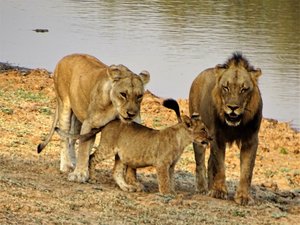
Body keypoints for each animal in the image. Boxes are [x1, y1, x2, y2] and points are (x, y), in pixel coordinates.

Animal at [37, 54, 150, 183]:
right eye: (123, 94)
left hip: (78, 116)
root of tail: (65, 57)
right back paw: (66, 166)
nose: (131, 114)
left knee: (72, 139)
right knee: (65, 137)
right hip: (64, 104)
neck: (115, 108)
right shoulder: (89, 123)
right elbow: (83, 148)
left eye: (139, 96)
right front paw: (79, 174)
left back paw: (74, 162)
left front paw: (131, 180)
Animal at [56, 99, 211, 194]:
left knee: (116, 172)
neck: (182, 140)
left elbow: (171, 178)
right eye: (203, 129)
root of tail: (109, 122)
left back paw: (127, 187)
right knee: (92, 157)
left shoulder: (171, 165)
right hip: (108, 148)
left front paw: (172, 191)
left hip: (121, 155)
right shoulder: (162, 164)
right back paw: (93, 178)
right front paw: (166, 193)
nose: (211, 138)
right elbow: (164, 180)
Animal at [190, 51, 262, 205]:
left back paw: (210, 186)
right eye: (226, 87)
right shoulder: (217, 137)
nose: (233, 107)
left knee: (209, 162)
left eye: (243, 89)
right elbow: (220, 166)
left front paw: (243, 197)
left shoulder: (251, 140)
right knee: (200, 162)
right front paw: (219, 191)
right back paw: (203, 188)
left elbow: (247, 170)